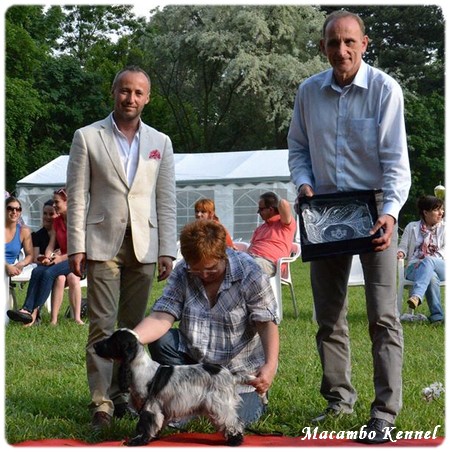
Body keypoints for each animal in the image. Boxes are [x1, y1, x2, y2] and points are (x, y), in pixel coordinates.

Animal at [94, 328, 258, 446]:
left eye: (112, 340)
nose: (95, 345)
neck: (138, 367)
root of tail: (230, 374)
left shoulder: (150, 407)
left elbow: (145, 425)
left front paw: (138, 441)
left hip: (219, 403)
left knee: (232, 422)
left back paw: (235, 440)